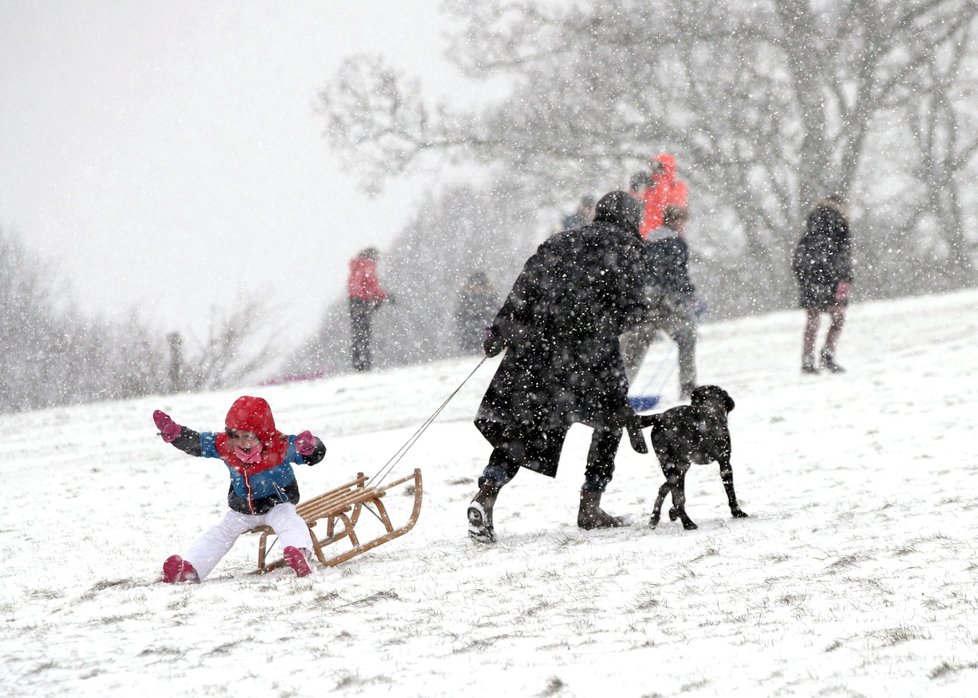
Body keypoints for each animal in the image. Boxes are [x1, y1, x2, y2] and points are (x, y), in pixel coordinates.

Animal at [632, 386, 748, 528]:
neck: (710, 406)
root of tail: (660, 417)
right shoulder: (725, 463)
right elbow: (731, 493)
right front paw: (737, 512)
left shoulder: (684, 467)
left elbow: (674, 495)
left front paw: (671, 513)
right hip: (678, 467)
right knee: (672, 493)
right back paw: (687, 523)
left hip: (673, 466)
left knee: (669, 491)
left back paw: (657, 517)